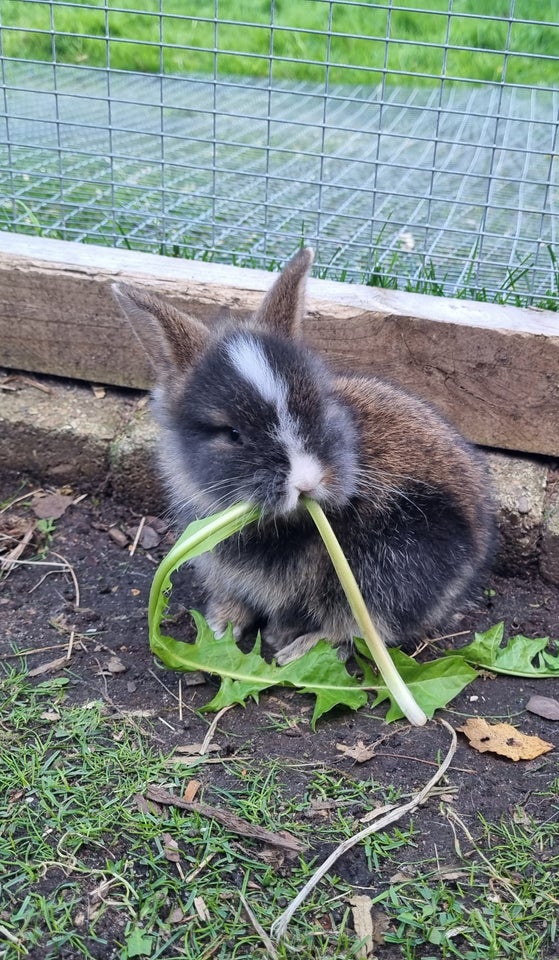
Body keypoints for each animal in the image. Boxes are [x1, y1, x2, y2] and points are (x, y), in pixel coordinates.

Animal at [112, 248, 494, 664]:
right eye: (232, 434)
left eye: (319, 407)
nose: (307, 481)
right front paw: (220, 627)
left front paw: (271, 639)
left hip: (396, 559)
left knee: (365, 627)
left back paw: (295, 652)